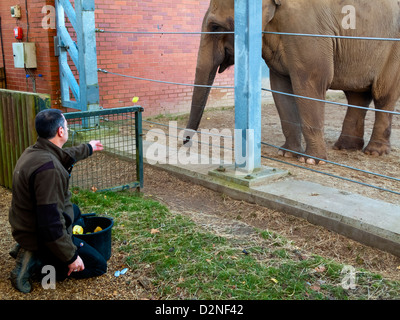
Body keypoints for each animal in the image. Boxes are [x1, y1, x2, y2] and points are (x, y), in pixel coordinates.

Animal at [186, 0, 400, 164]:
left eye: (215, 27)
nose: (185, 142)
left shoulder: (308, 29)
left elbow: (310, 83)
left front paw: (312, 161)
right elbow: (281, 88)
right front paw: (287, 154)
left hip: (393, 52)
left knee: (383, 95)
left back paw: (374, 152)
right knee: (357, 96)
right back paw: (344, 147)